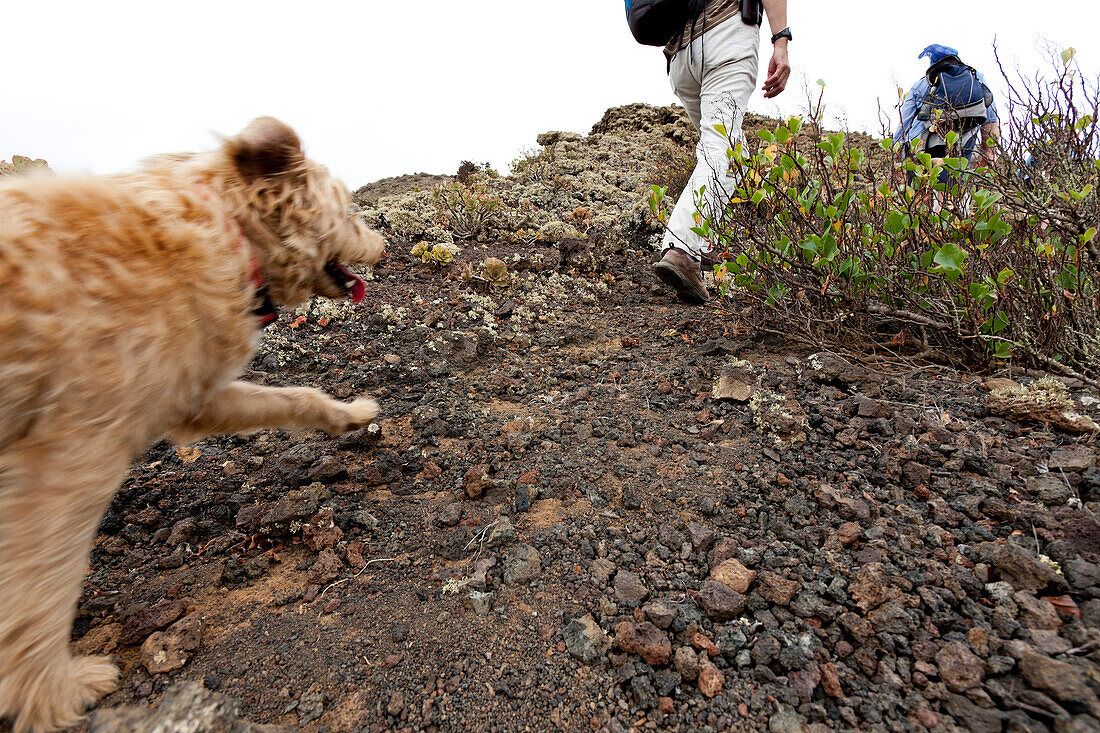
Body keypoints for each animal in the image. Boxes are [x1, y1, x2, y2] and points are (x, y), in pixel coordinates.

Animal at [0, 117, 387, 726]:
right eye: (349, 208)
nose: (386, 242)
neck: (228, 229)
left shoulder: (191, 396)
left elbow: (296, 394)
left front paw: (349, 415)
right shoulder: (72, 460)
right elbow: (44, 587)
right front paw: (54, 692)